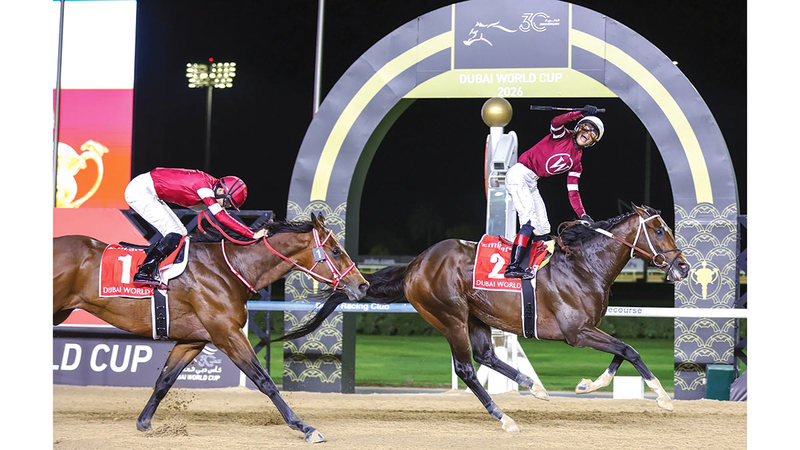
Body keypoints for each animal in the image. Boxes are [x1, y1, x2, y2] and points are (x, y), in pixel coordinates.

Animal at [53, 213, 369, 443]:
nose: (362, 285)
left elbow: (164, 381)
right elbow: (264, 380)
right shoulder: (227, 333)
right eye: (335, 251)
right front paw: (304, 427)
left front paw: (144, 422)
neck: (230, 269)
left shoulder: (193, 340)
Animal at [275, 205, 690, 433]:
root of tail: (415, 265)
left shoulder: (587, 329)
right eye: (658, 230)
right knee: (467, 367)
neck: (584, 266)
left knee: (486, 355)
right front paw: (663, 397)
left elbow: (621, 352)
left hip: (476, 317)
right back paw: (504, 416)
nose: (684, 267)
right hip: (451, 316)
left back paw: (532, 386)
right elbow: (630, 350)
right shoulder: (576, 332)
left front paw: (589, 384)